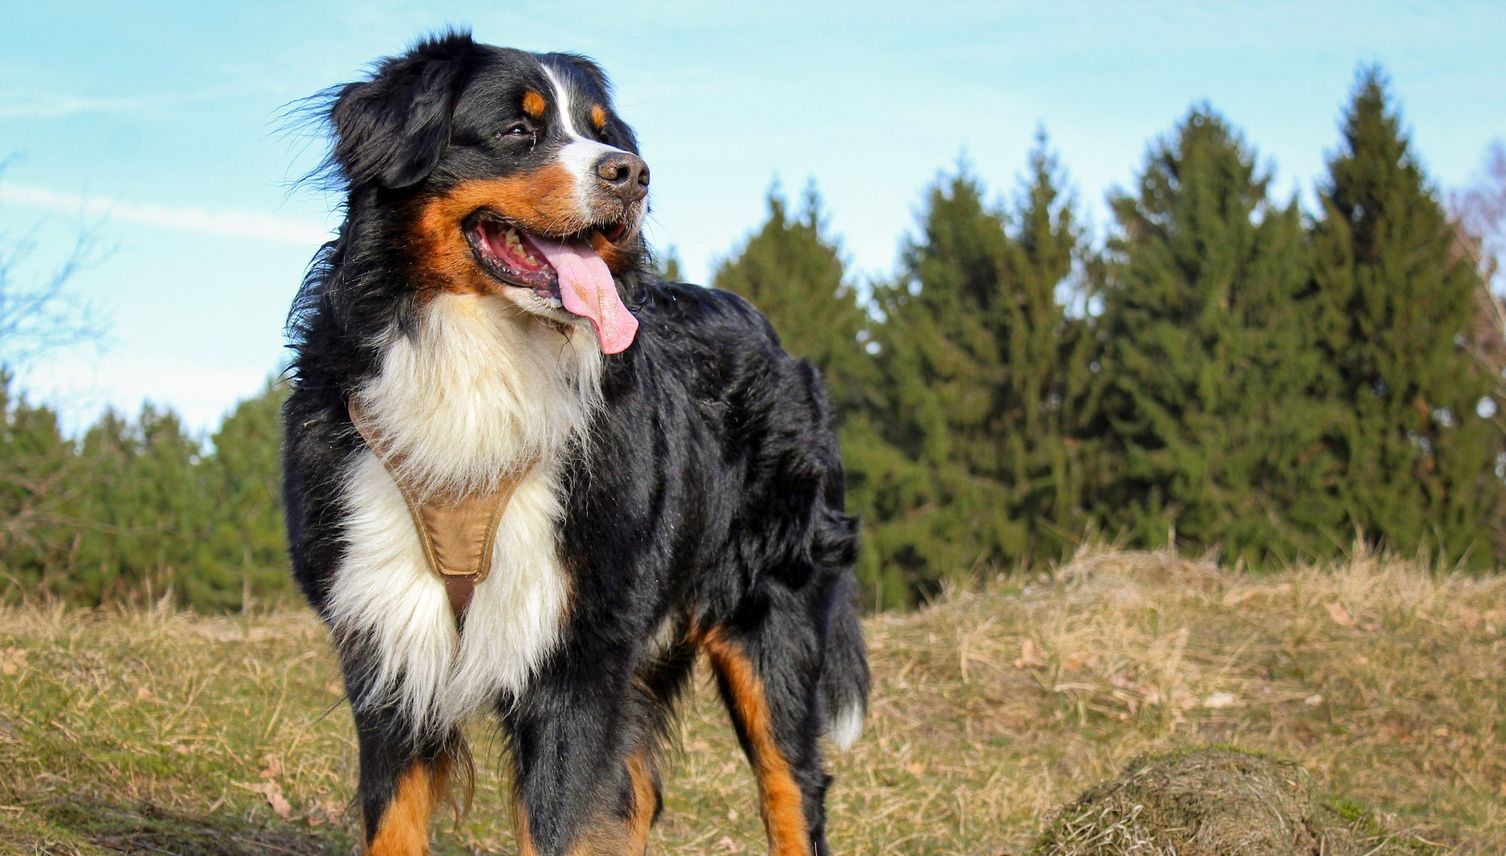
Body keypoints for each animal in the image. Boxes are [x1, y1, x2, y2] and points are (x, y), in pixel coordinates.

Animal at [283, 30, 873, 849]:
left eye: (602, 132)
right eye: (516, 131)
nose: (631, 174)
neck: (481, 366)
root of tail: (786, 347)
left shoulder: (576, 661)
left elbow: (562, 824)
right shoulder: (389, 648)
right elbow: (391, 825)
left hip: (770, 619)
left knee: (793, 789)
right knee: (639, 793)